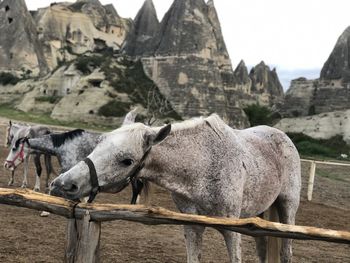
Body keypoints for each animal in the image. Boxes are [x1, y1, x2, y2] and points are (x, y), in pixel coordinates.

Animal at [49, 115, 300, 263]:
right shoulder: (192, 226)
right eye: (99, 141)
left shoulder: (232, 229)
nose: (63, 184)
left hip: (287, 209)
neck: (204, 164)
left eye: (127, 161)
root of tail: (283, 137)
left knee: (286, 252)